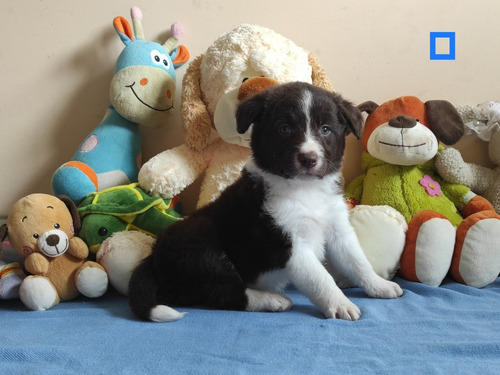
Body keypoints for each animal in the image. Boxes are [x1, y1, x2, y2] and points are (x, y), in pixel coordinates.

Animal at [129, 82, 402, 324]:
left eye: (325, 129)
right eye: (284, 129)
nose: (309, 159)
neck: (305, 190)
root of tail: (153, 257)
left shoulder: (337, 228)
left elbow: (358, 261)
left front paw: (379, 285)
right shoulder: (287, 244)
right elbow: (320, 277)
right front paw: (341, 304)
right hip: (201, 241)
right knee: (223, 293)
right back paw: (271, 299)